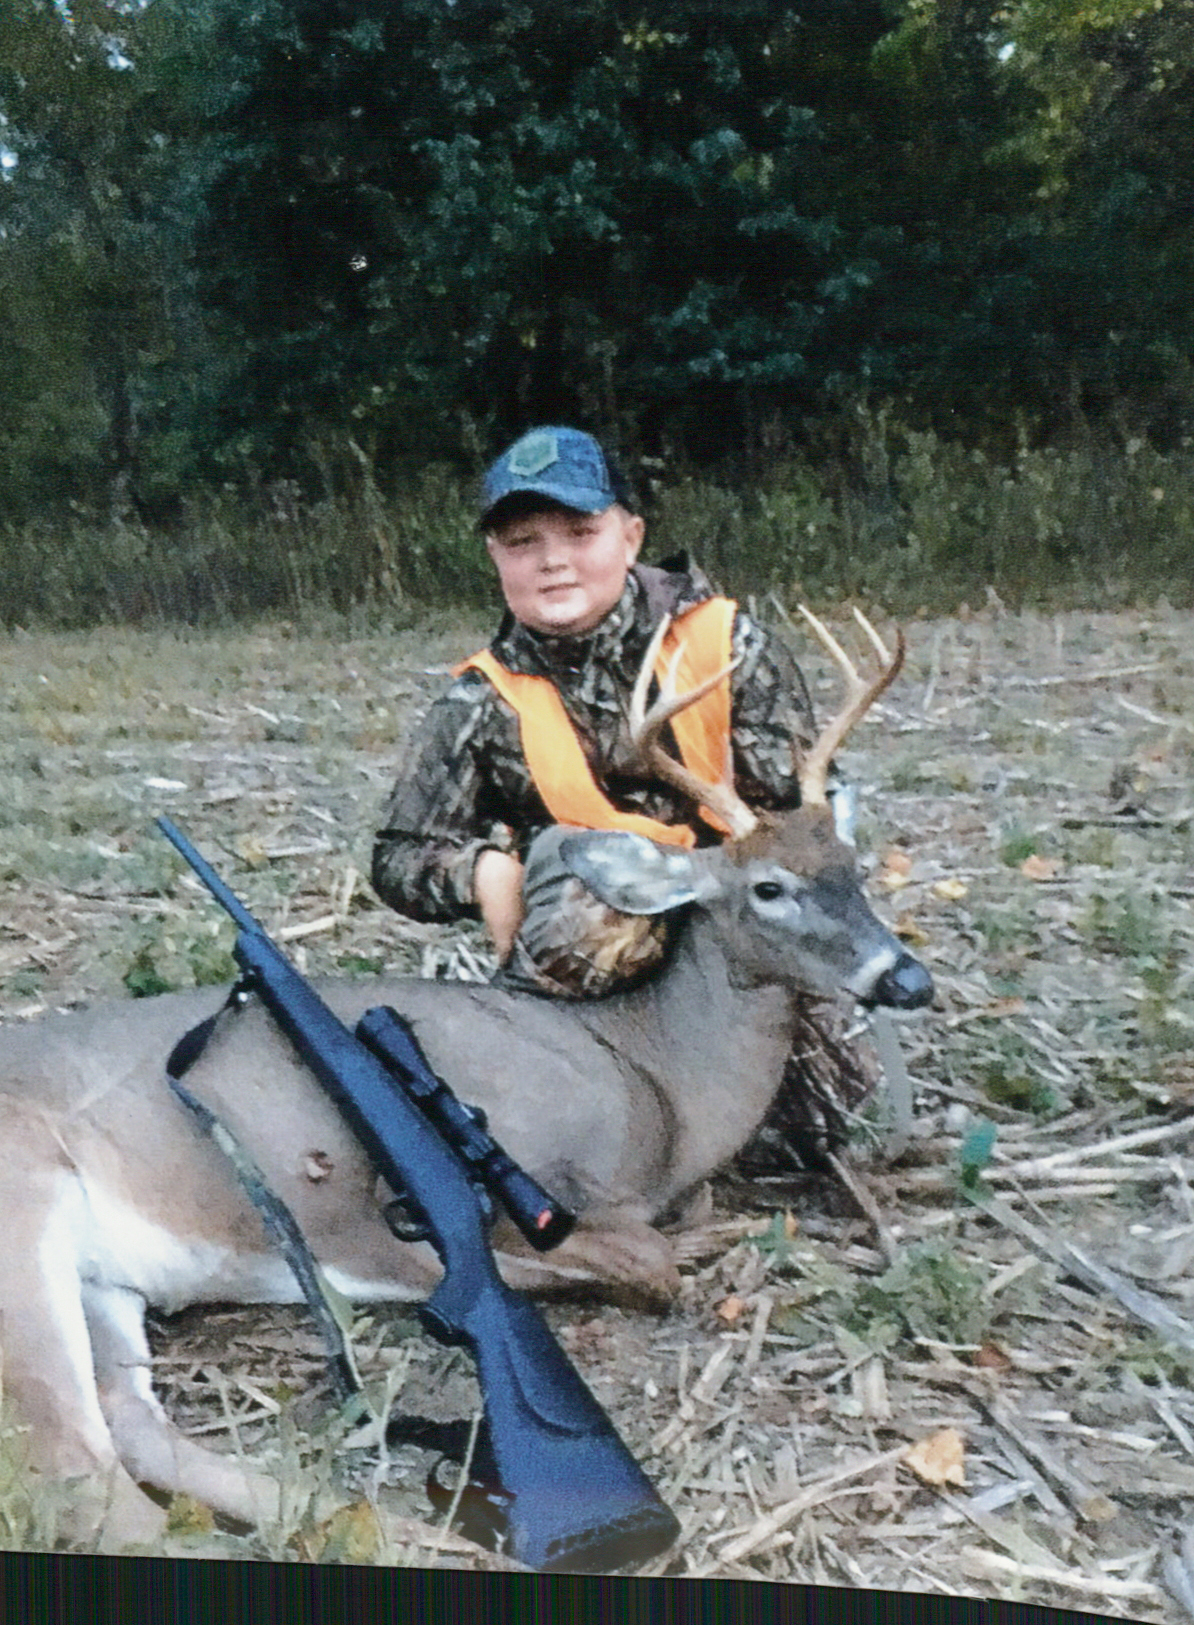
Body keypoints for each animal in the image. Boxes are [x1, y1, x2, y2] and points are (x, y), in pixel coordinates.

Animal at [0, 607, 931, 1549]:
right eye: (769, 886)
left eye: (855, 868)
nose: (907, 977)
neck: (657, 1078)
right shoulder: (559, 1181)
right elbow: (648, 1260)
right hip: (23, 1218)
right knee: (76, 1473)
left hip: (104, 1285)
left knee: (130, 1426)